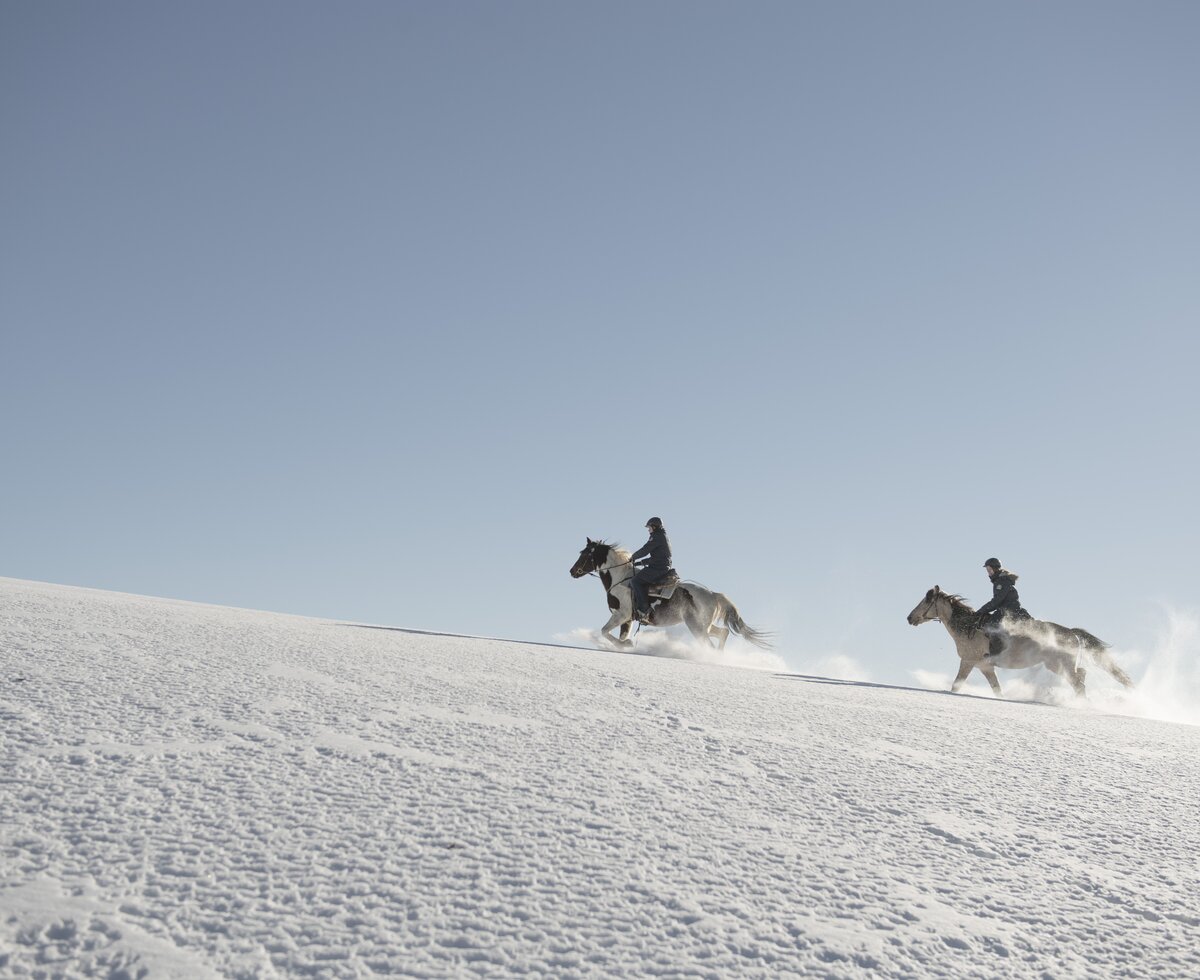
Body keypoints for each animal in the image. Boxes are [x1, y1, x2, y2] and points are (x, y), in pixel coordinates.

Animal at [568, 539, 772, 652]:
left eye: (585, 554)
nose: (572, 571)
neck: (620, 579)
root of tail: (713, 595)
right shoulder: (628, 619)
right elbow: (620, 636)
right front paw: (624, 645)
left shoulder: (621, 615)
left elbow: (605, 631)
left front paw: (625, 645)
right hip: (704, 626)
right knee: (723, 632)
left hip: (697, 627)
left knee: (711, 643)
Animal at [907, 580, 1132, 695]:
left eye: (926, 600)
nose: (910, 618)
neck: (968, 628)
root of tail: (1072, 633)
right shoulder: (985, 667)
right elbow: (997, 689)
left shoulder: (968, 661)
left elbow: (956, 685)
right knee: (1082, 676)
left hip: (1060, 665)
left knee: (1079, 683)